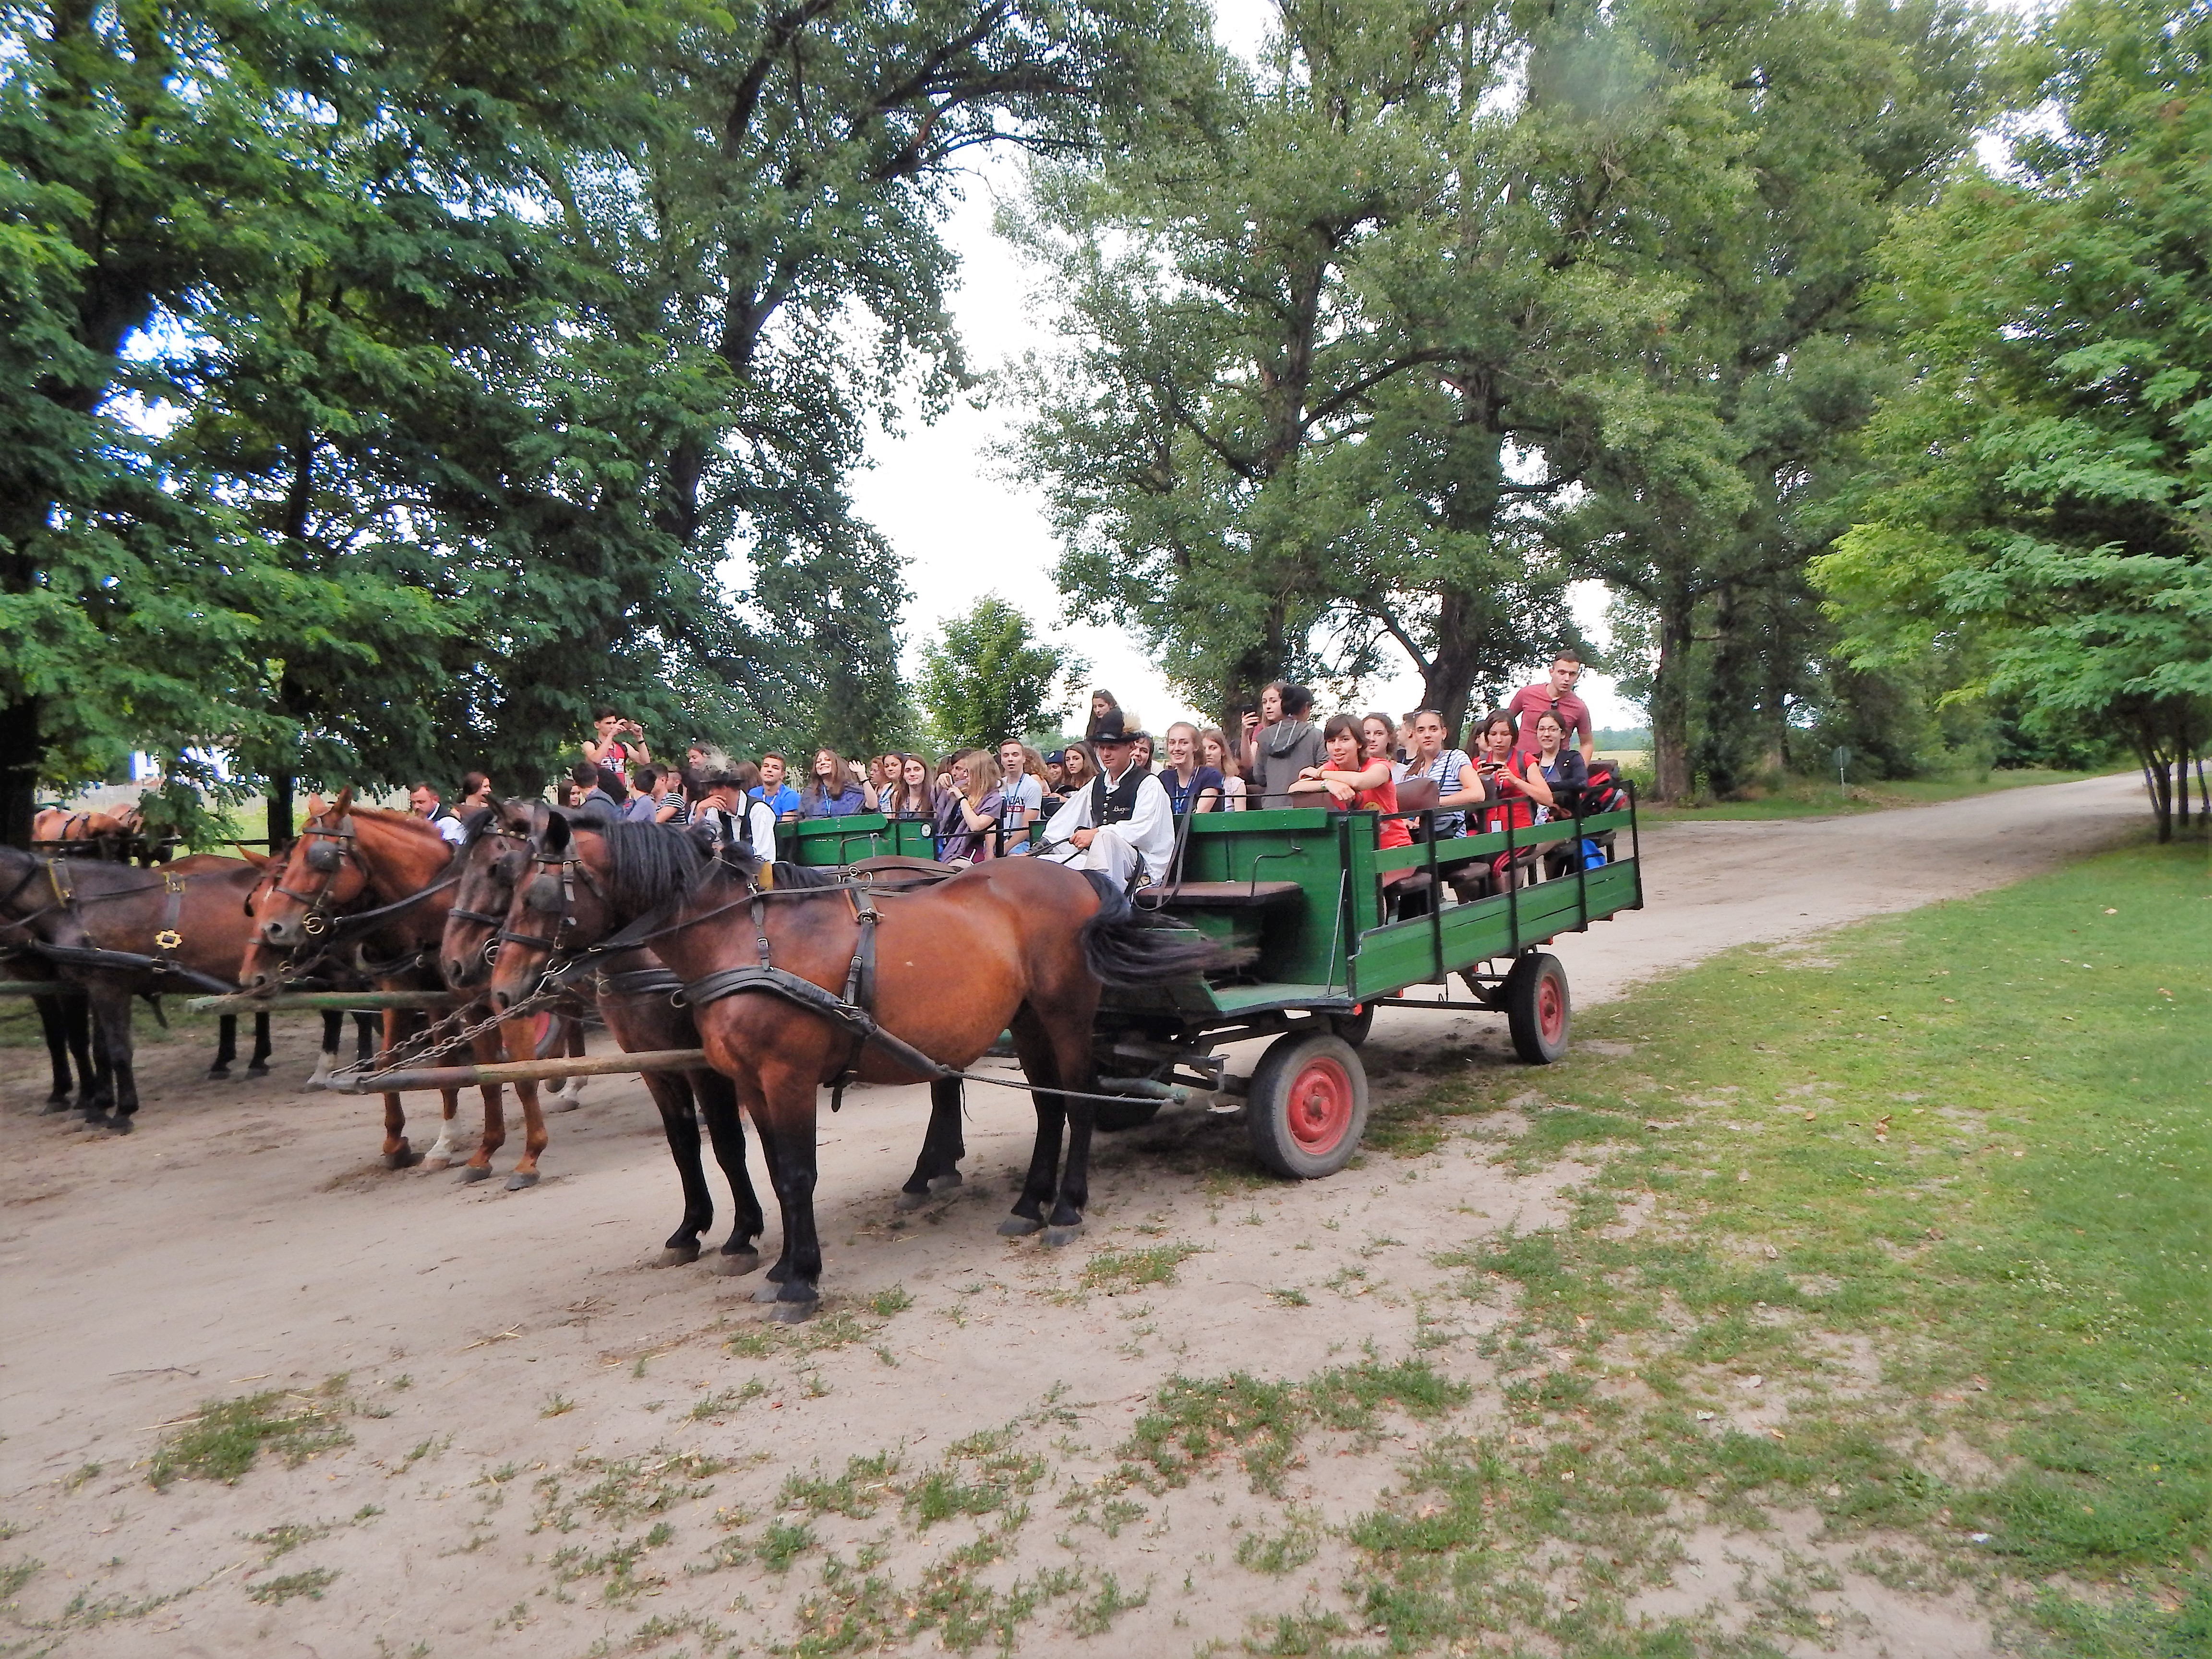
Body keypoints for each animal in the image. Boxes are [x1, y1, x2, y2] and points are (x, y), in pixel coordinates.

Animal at [0, 845, 272, 1132]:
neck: (77, 904)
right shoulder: (91, 989)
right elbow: (99, 1050)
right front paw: (99, 1106)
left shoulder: (108, 988)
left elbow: (116, 1049)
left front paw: (121, 1111)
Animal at [489, 818, 1247, 1327]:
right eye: (509, 887)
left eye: (540, 895)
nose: (502, 989)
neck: (744, 941)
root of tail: (1076, 875)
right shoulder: (751, 1084)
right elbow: (767, 1167)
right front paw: (780, 1264)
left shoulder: (786, 1076)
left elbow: (797, 1174)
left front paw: (800, 1282)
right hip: (1029, 1018)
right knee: (1049, 1107)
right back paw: (1029, 1204)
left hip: (1065, 1013)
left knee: (1081, 1100)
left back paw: (1065, 1209)